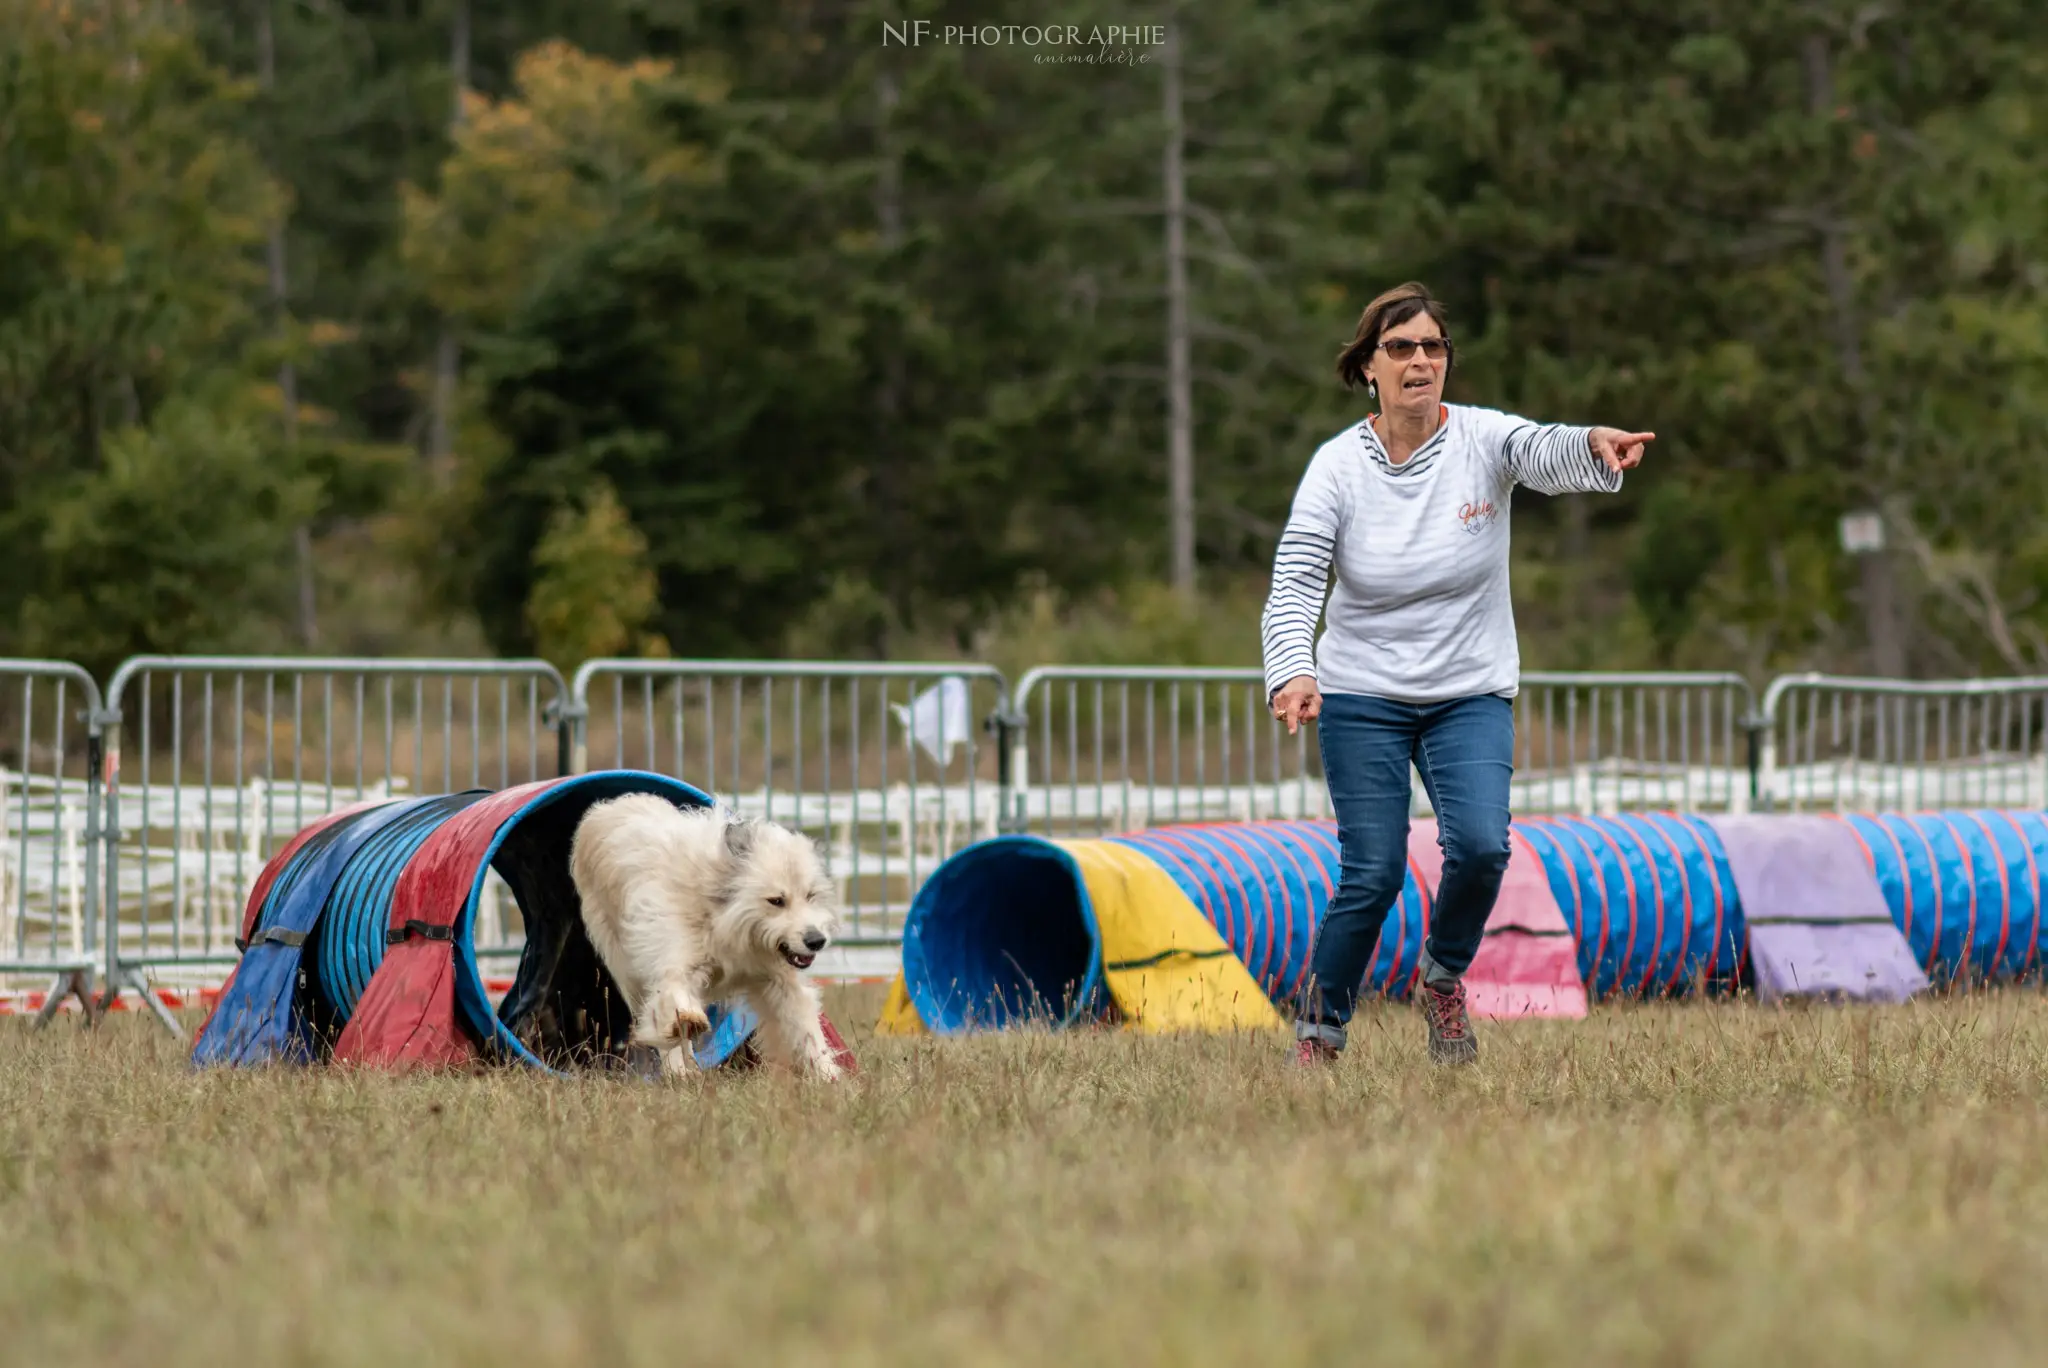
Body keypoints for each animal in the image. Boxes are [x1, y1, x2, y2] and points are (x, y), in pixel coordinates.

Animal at [565, 802, 843, 1081]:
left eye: (810, 895)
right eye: (776, 901)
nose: (817, 941)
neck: (718, 913)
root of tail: (604, 808)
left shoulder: (778, 978)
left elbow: (804, 1028)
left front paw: (829, 1076)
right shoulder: (674, 962)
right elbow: (675, 1007)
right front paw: (683, 1042)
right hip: (626, 970)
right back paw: (680, 1073)